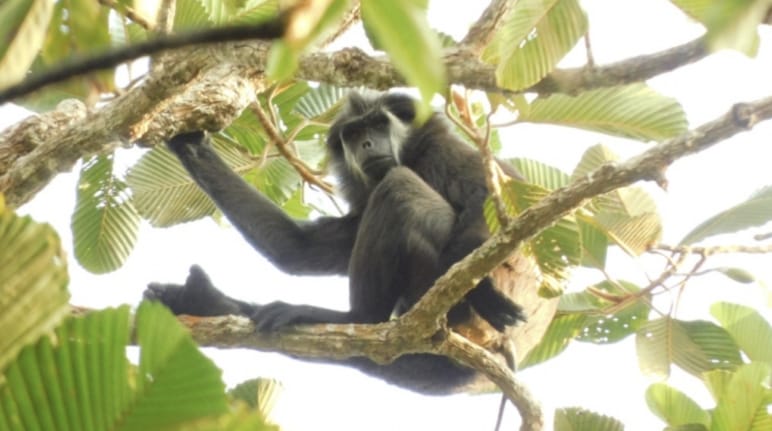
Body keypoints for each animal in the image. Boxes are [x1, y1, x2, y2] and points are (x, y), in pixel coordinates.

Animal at [146, 92, 528, 394]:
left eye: (378, 124)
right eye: (354, 134)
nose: (367, 145)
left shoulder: (442, 150)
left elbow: (490, 200)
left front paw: (486, 292)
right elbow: (300, 249)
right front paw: (188, 143)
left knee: (400, 187)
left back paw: (357, 318)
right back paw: (204, 300)